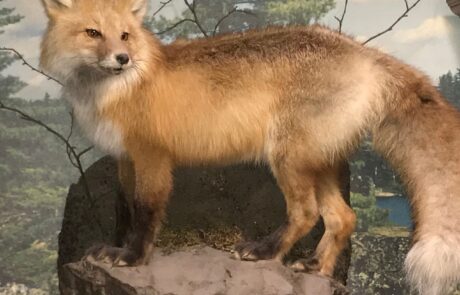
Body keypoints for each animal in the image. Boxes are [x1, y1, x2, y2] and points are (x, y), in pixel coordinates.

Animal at [40, 0, 460, 294]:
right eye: (93, 33)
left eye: (125, 36)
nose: (123, 59)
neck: (113, 92)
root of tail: (362, 51)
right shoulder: (124, 158)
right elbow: (125, 210)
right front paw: (111, 250)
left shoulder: (152, 157)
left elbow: (145, 213)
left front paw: (132, 257)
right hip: (318, 164)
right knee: (344, 218)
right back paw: (315, 268)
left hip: (287, 159)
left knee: (307, 213)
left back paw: (264, 252)